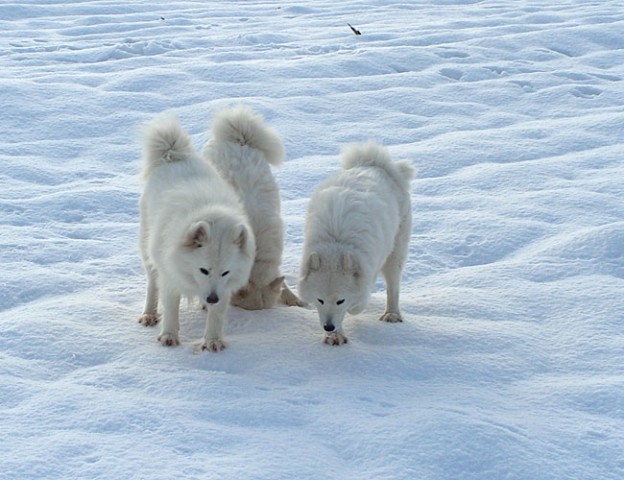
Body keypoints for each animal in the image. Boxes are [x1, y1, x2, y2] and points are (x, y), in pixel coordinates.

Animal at [138, 114, 255, 350]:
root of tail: (174, 156)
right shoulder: (170, 276)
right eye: (203, 270)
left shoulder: (225, 288)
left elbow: (217, 316)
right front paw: (169, 336)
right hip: (148, 249)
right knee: (152, 283)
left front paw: (213, 341)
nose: (211, 298)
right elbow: (171, 308)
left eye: (225, 272)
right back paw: (150, 314)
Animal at [298, 142, 414, 344]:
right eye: (320, 300)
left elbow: (356, 303)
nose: (328, 327)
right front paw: (335, 336)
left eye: (340, 301)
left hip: (395, 253)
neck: (335, 244)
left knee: (393, 286)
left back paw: (392, 314)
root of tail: (374, 164)